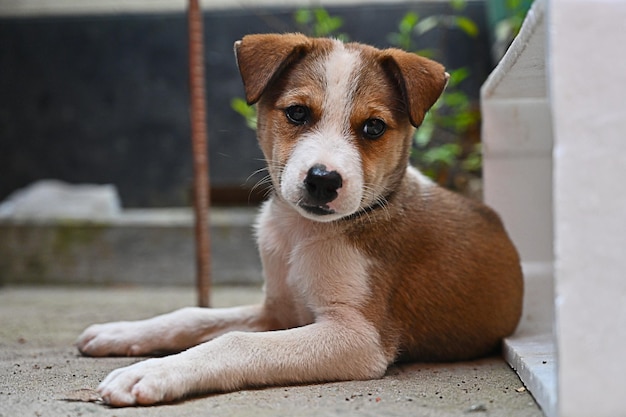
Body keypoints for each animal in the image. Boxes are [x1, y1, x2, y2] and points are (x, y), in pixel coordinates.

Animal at [75, 33, 520, 406]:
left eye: (374, 127)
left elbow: (235, 342)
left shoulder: (359, 336)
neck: (300, 234)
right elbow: (196, 315)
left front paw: (150, 373)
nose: (323, 181)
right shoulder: (277, 311)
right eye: (297, 113)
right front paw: (122, 332)